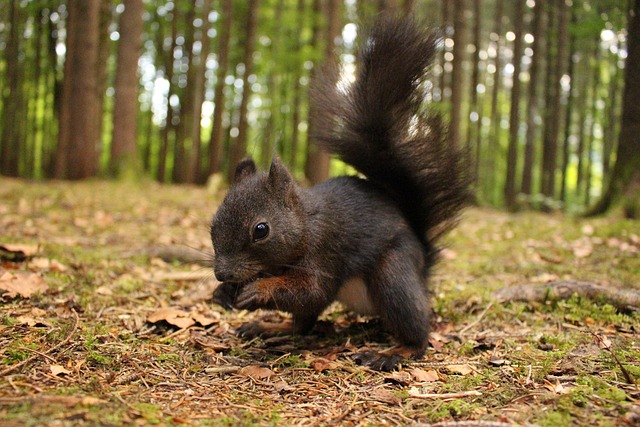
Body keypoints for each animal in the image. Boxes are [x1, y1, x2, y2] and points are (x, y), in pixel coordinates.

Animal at [210, 15, 469, 370]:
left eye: (261, 230)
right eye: (212, 225)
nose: (221, 274)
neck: (306, 225)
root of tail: (423, 265)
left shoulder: (324, 251)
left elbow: (311, 290)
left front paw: (260, 290)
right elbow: (305, 301)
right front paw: (223, 294)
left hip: (394, 275)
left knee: (417, 330)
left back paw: (393, 353)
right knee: (303, 324)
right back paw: (270, 328)